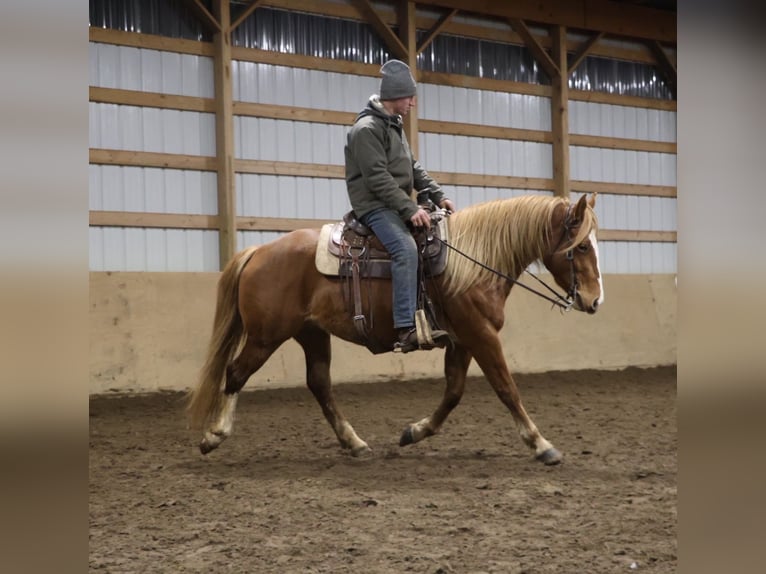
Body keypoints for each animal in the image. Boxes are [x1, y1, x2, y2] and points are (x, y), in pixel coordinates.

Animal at [187, 193, 603, 465]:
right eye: (582, 246)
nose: (596, 300)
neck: (474, 261)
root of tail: (257, 251)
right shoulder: (481, 335)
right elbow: (506, 388)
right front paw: (541, 444)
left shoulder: (463, 340)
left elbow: (453, 392)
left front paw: (414, 432)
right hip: (265, 336)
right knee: (235, 373)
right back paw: (214, 435)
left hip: (312, 334)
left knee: (319, 384)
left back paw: (354, 442)